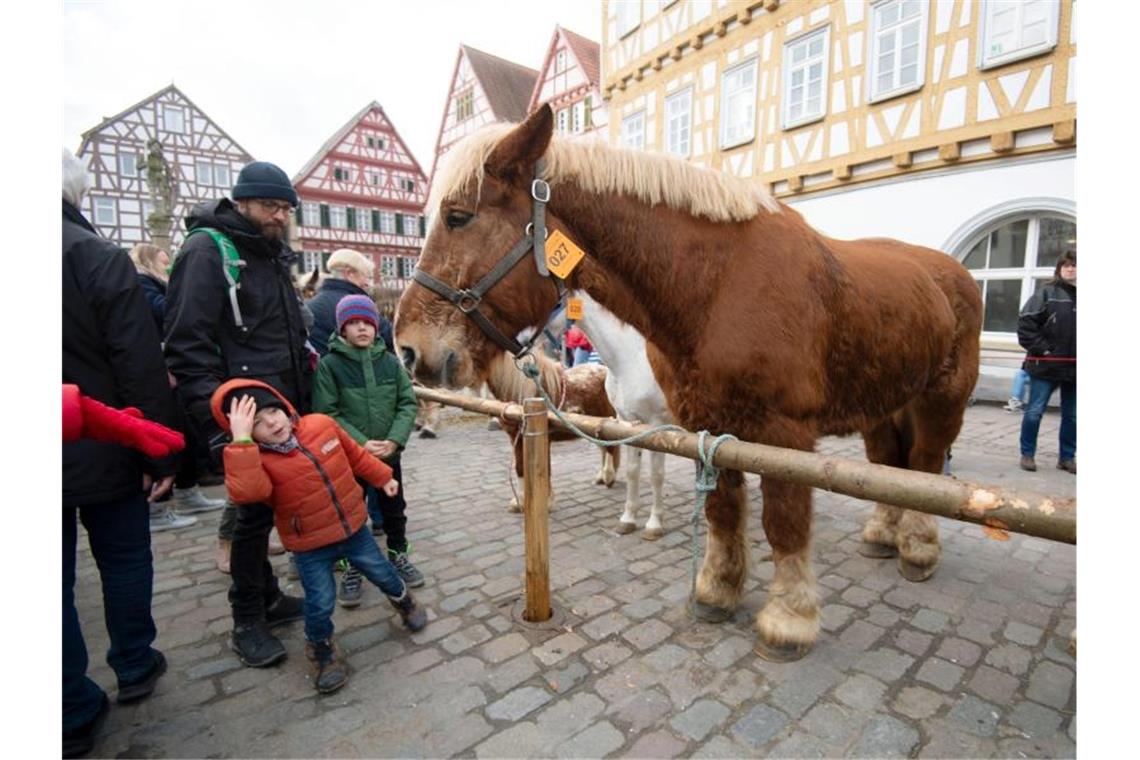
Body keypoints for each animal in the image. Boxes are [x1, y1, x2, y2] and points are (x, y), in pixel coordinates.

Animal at [483, 350, 620, 510]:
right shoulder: (515, 437)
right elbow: (520, 467)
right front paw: (520, 502)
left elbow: (545, 468)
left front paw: (546, 501)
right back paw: (601, 477)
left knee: (610, 448)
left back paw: (608, 477)